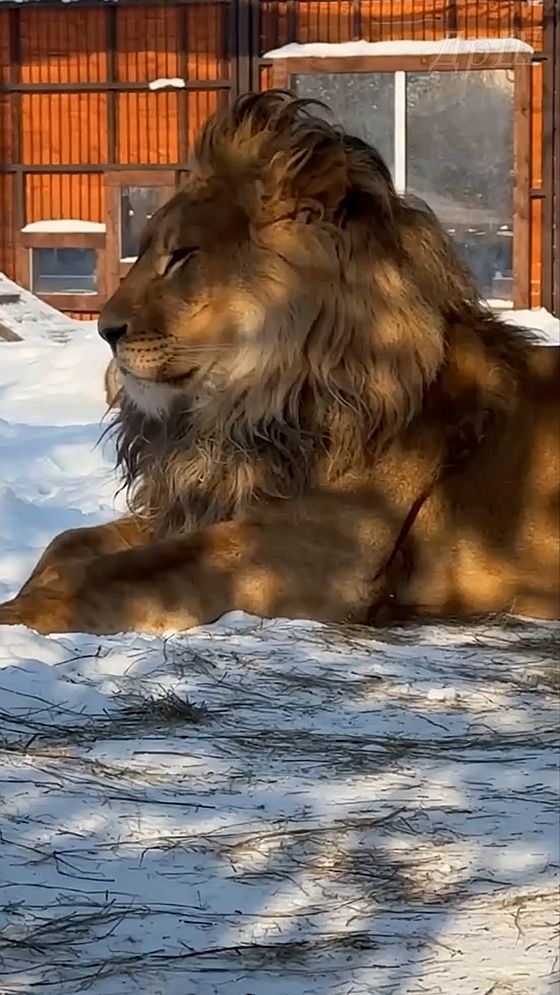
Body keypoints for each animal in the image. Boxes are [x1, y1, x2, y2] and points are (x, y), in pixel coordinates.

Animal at [0, 91, 558, 635]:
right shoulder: (212, 502)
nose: (105, 330)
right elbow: (70, 541)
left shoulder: (316, 549)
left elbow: (122, 573)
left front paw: (18, 614)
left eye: (183, 256)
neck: (247, 409)